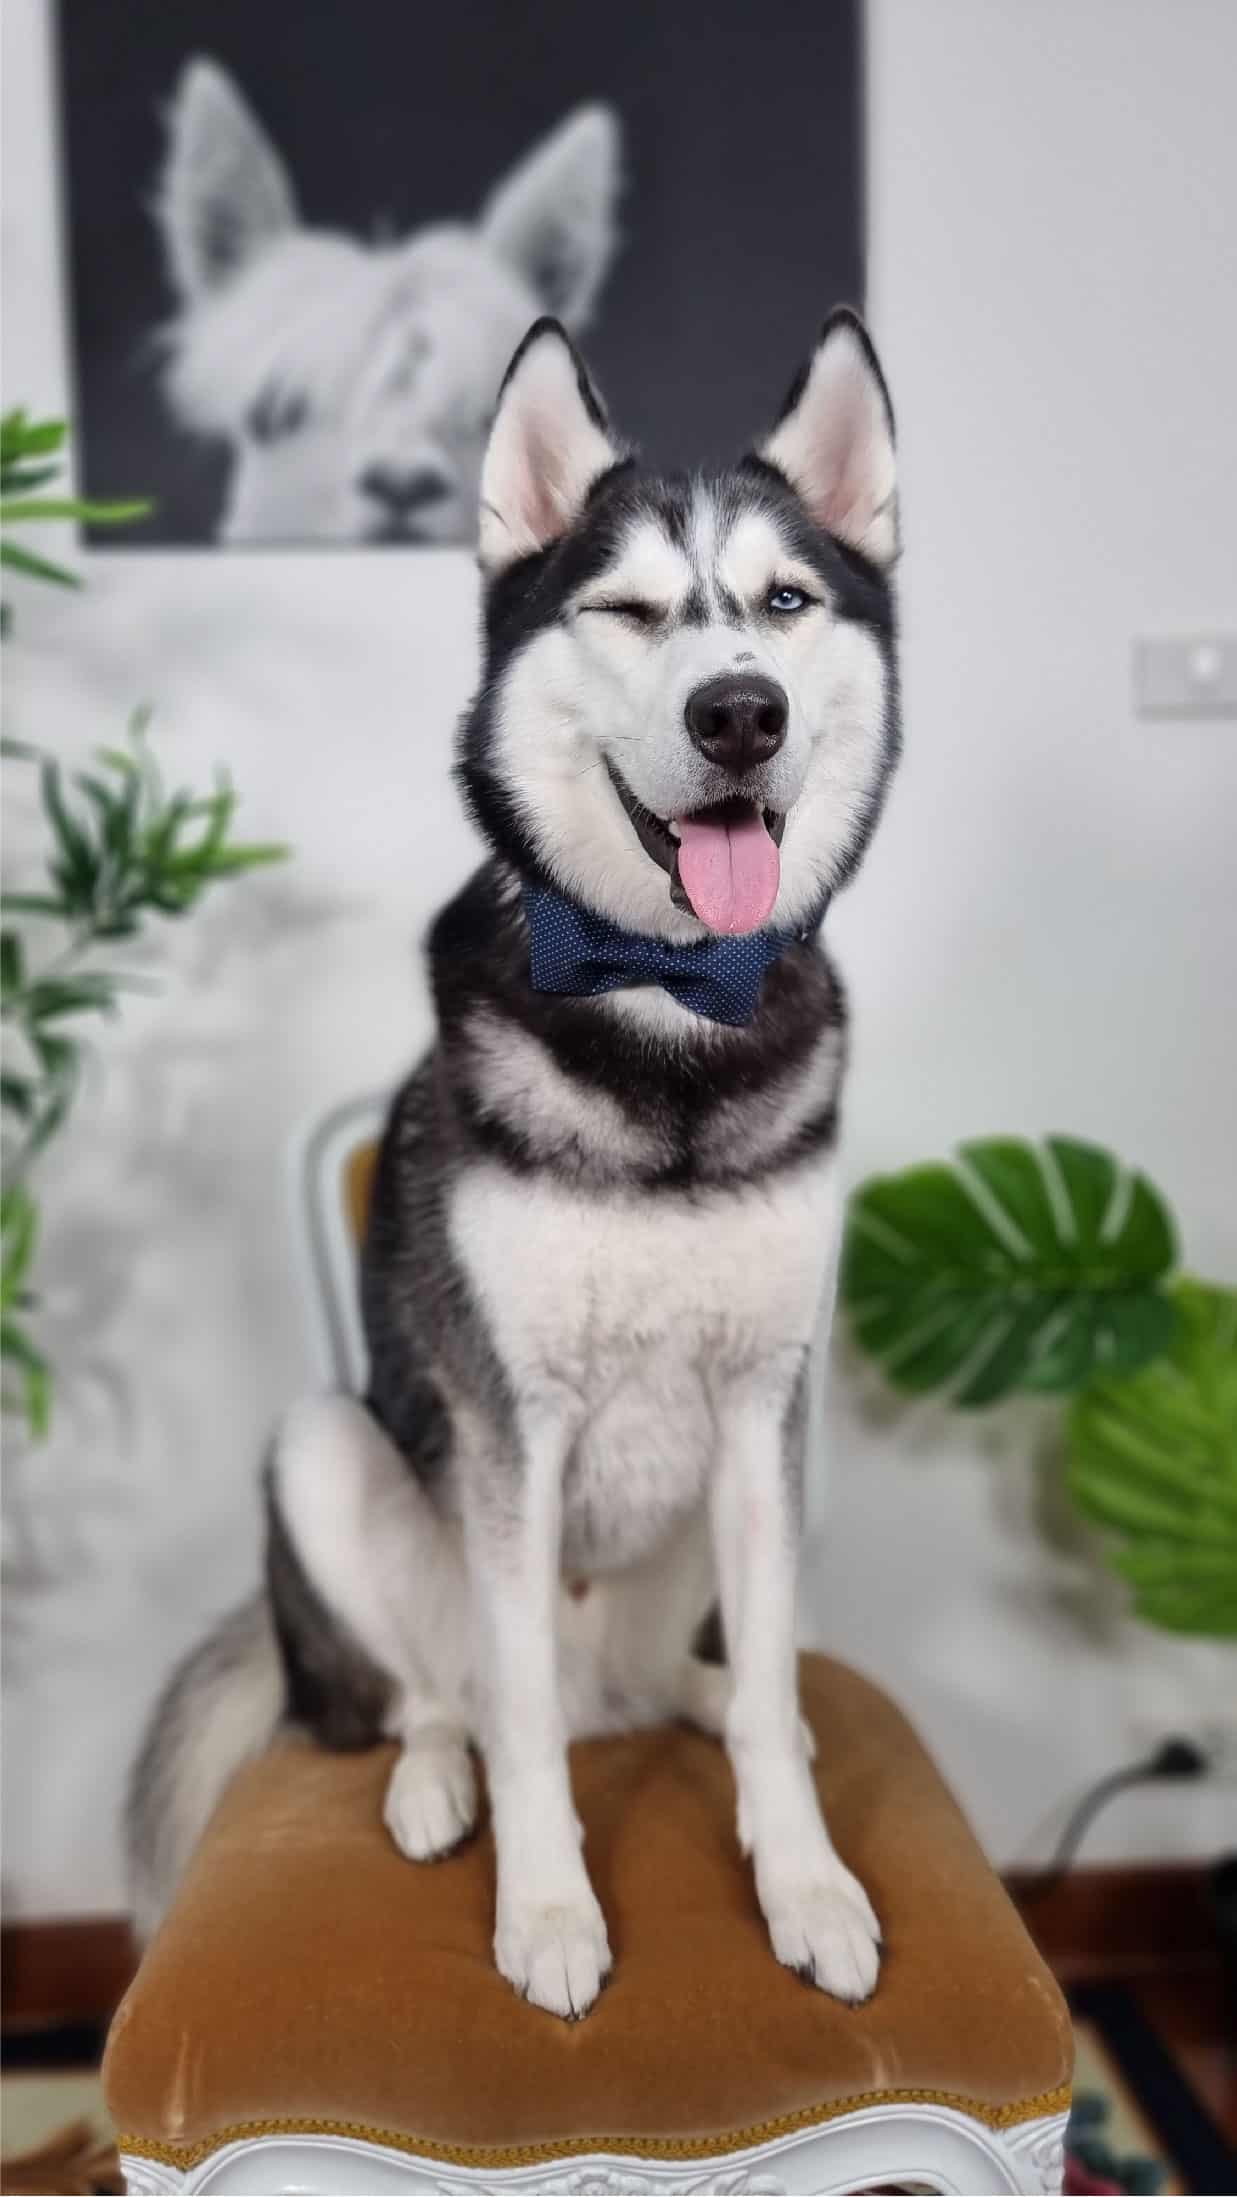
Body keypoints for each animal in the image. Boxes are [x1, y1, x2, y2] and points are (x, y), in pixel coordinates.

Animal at [130, 309, 900, 2021]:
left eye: (786, 603)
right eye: (626, 610)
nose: (739, 710)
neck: (662, 1004)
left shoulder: (764, 1402)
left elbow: (767, 1692)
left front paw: (805, 1879)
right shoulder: (512, 1427)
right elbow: (518, 1712)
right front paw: (547, 1912)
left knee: (692, 1679)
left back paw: (702, 1702)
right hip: (331, 1455)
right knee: (450, 1695)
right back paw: (434, 1780)